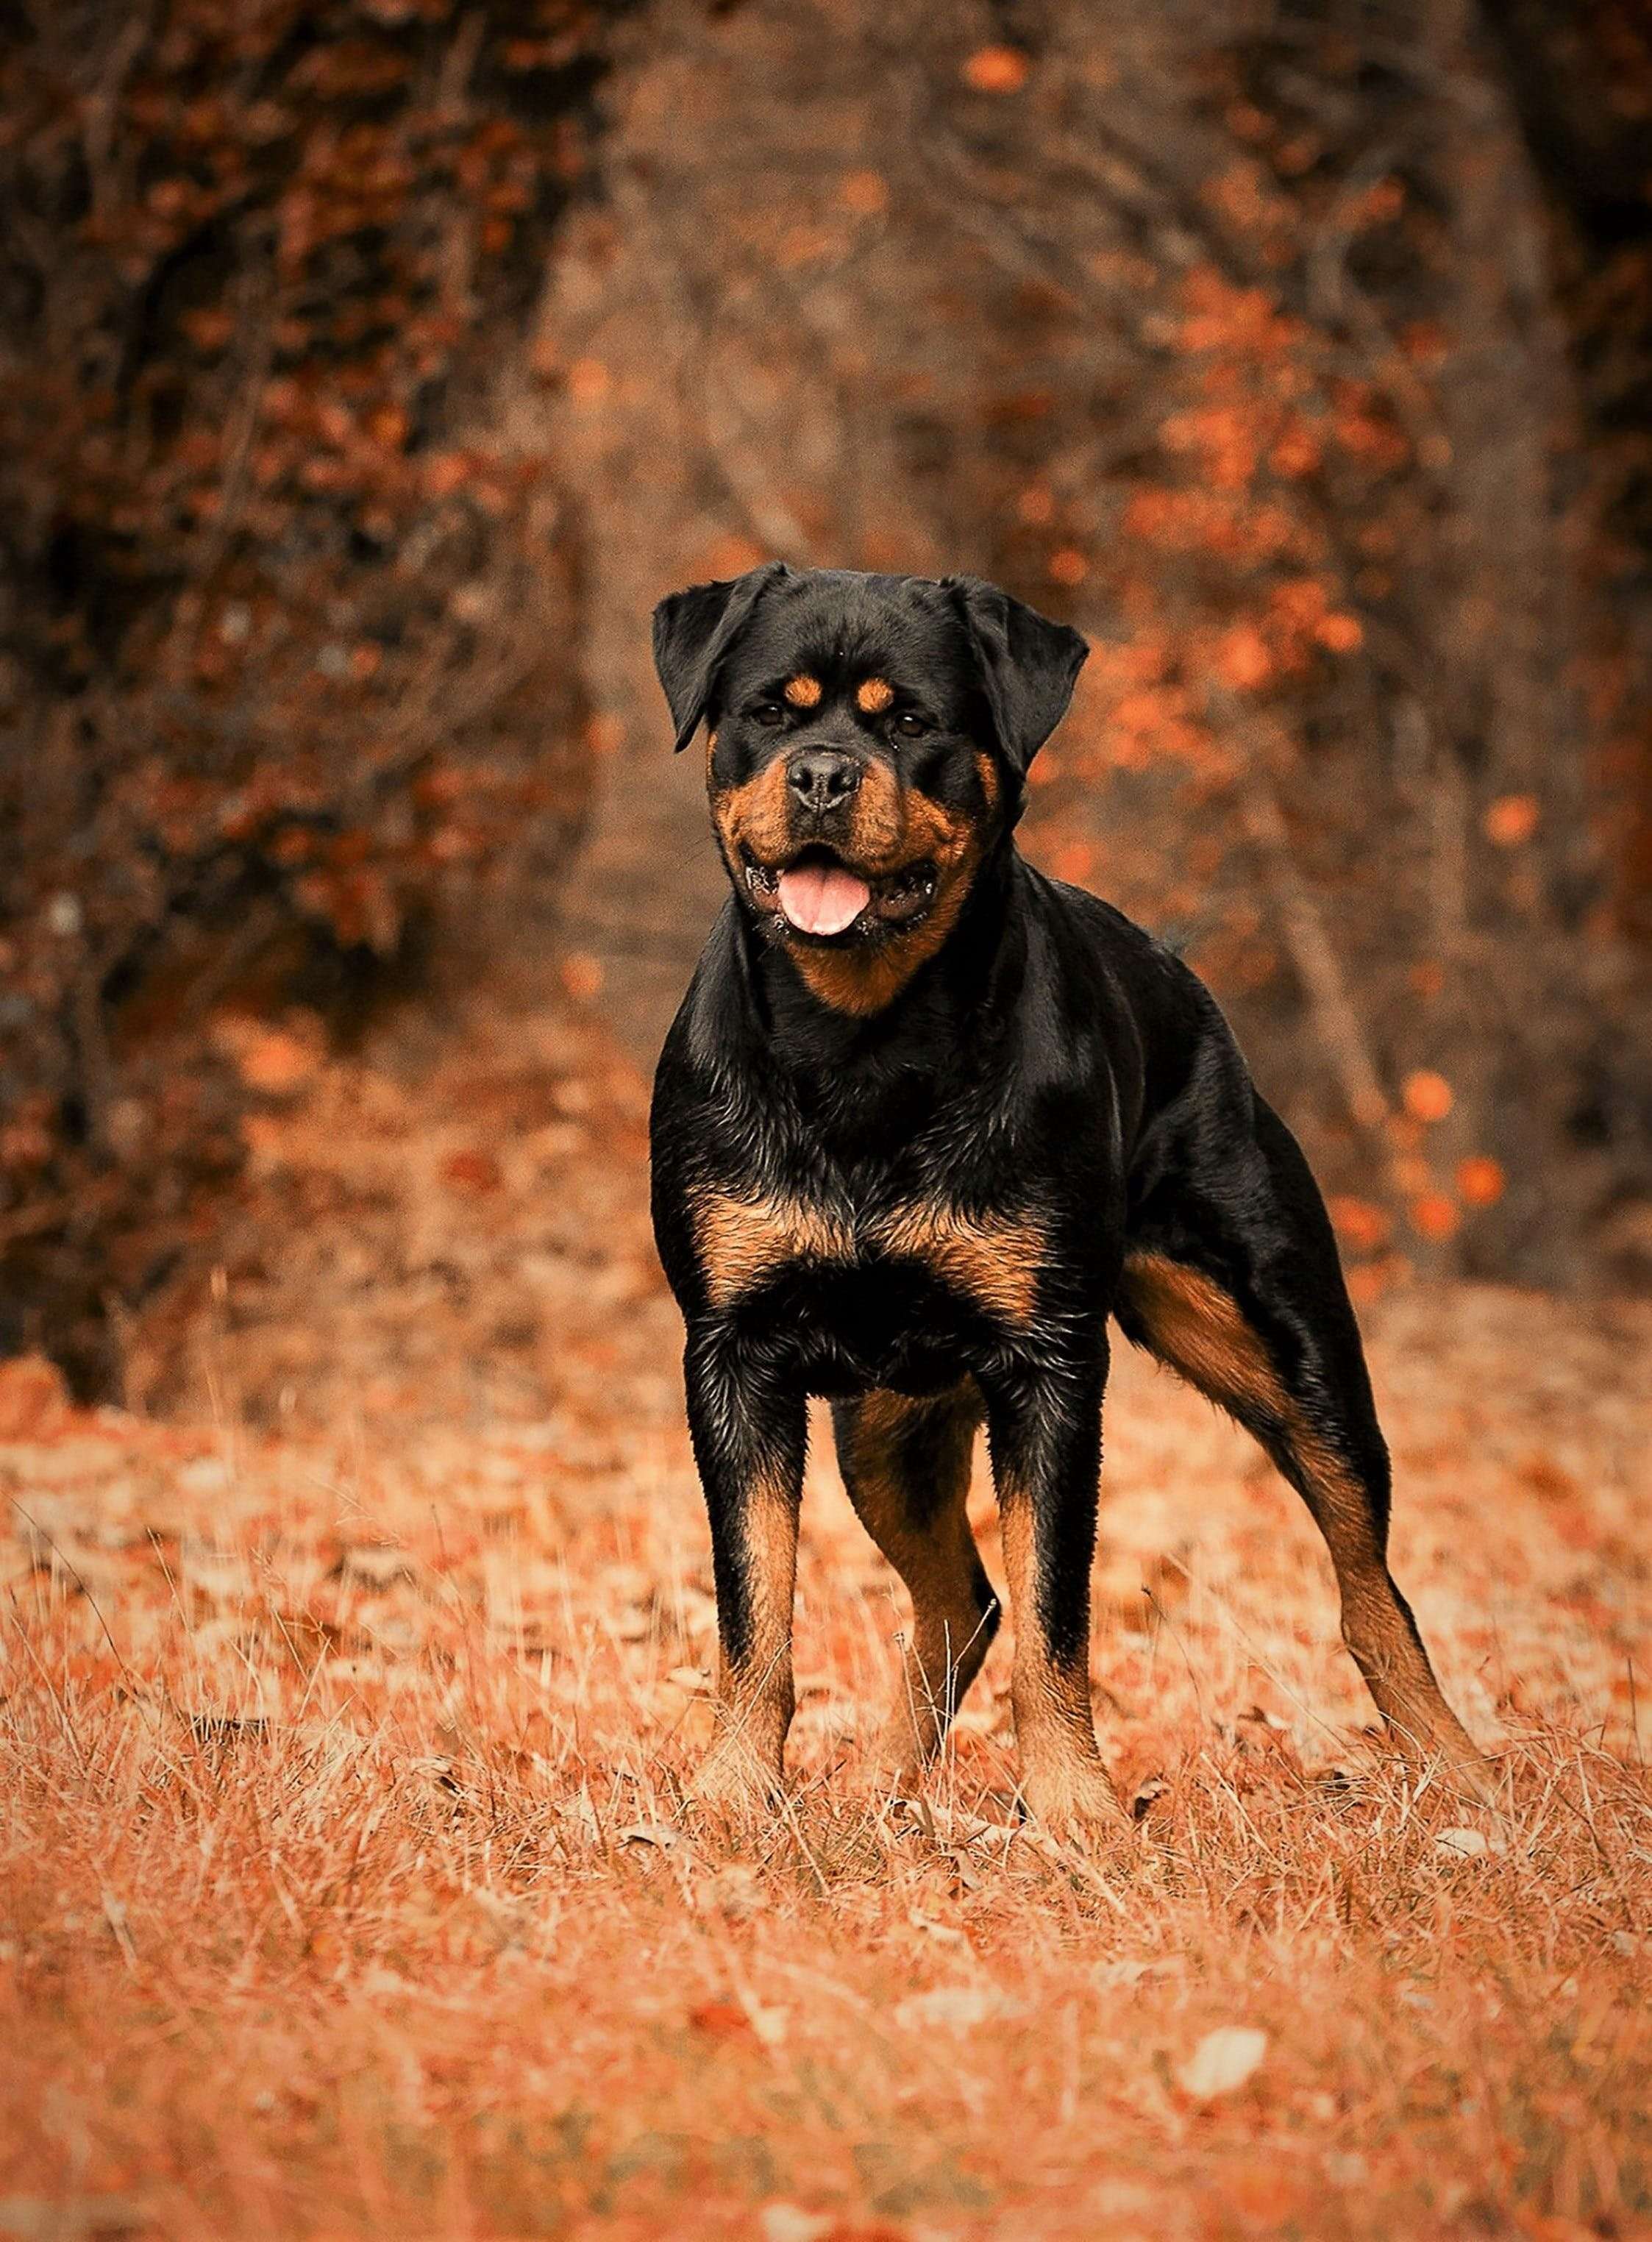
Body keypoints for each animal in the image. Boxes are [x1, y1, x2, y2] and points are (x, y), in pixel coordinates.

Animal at [641, 565, 1479, 1838]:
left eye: (910, 722)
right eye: (770, 712)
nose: (823, 774)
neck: (862, 1045)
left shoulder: (1050, 1362)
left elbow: (1056, 1612)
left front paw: (1077, 1813)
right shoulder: (733, 1353)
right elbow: (755, 1606)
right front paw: (736, 1791)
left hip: (1286, 1344)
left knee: (1366, 1578)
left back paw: (1457, 1766)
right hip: (885, 1422)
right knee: (961, 1601)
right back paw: (882, 1791)